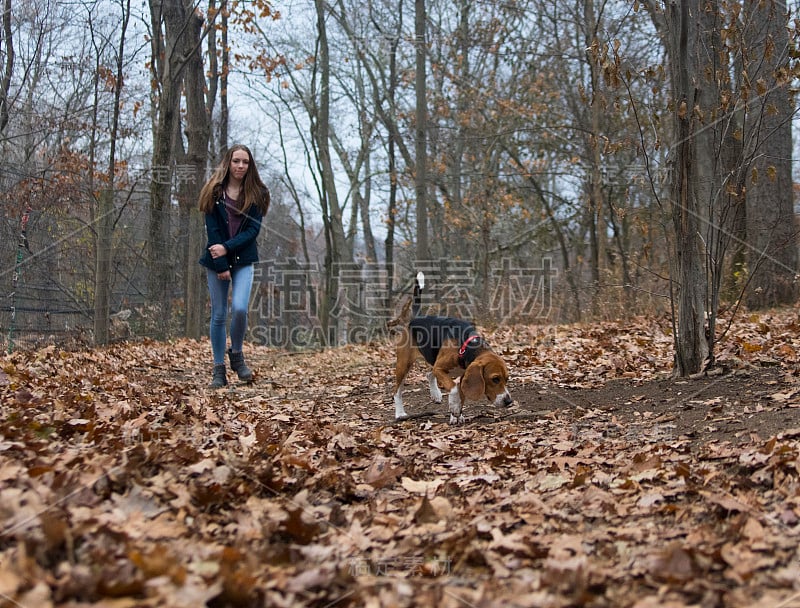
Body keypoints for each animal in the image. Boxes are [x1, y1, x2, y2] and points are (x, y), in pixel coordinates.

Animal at [392, 272, 512, 422]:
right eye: (495, 379)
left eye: (507, 379)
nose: (509, 401)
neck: (466, 345)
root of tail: (416, 318)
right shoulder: (440, 369)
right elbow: (454, 389)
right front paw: (454, 408)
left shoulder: (462, 375)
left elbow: (460, 394)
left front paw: (457, 415)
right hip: (404, 365)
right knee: (397, 392)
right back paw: (400, 413)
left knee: (429, 374)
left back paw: (436, 394)